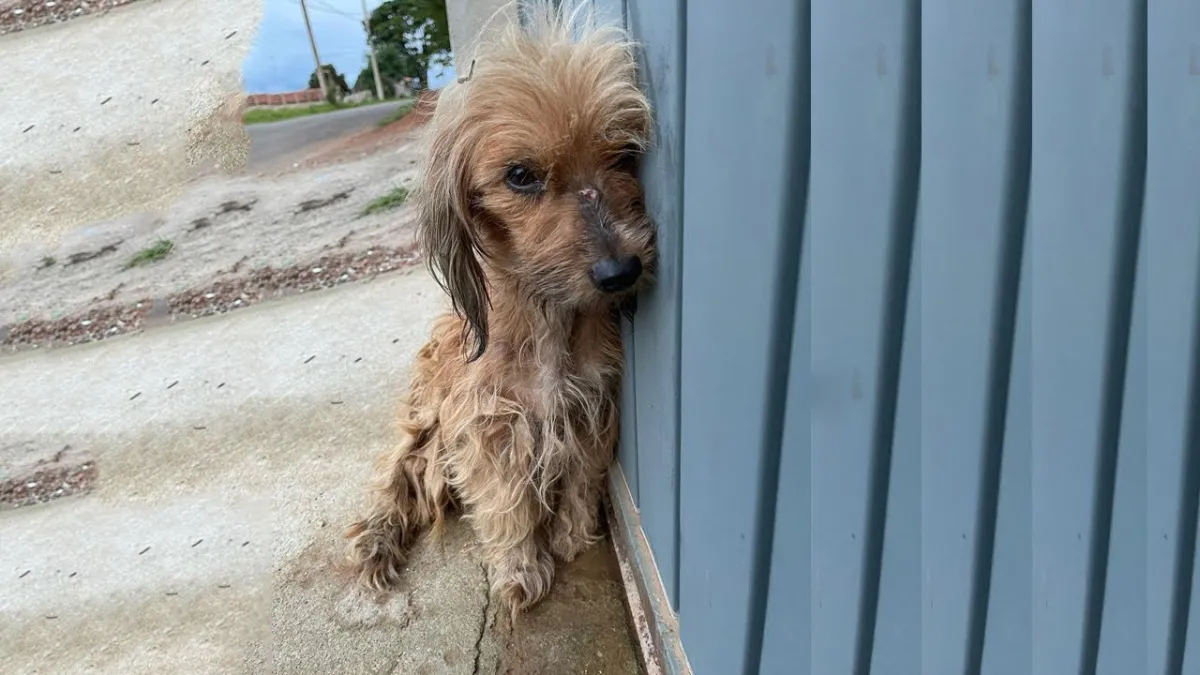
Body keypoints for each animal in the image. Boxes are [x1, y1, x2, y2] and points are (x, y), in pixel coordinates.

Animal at [343, 1, 652, 614]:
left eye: (624, 154)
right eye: (520, 175)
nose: (620, 273)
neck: (546, 317)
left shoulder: (589, 410)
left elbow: (578, 480)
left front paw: (572, 535)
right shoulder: (490, 428)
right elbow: (510, 506)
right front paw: (520, 568)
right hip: (424, 423)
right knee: (397, 477)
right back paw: (377, 538)